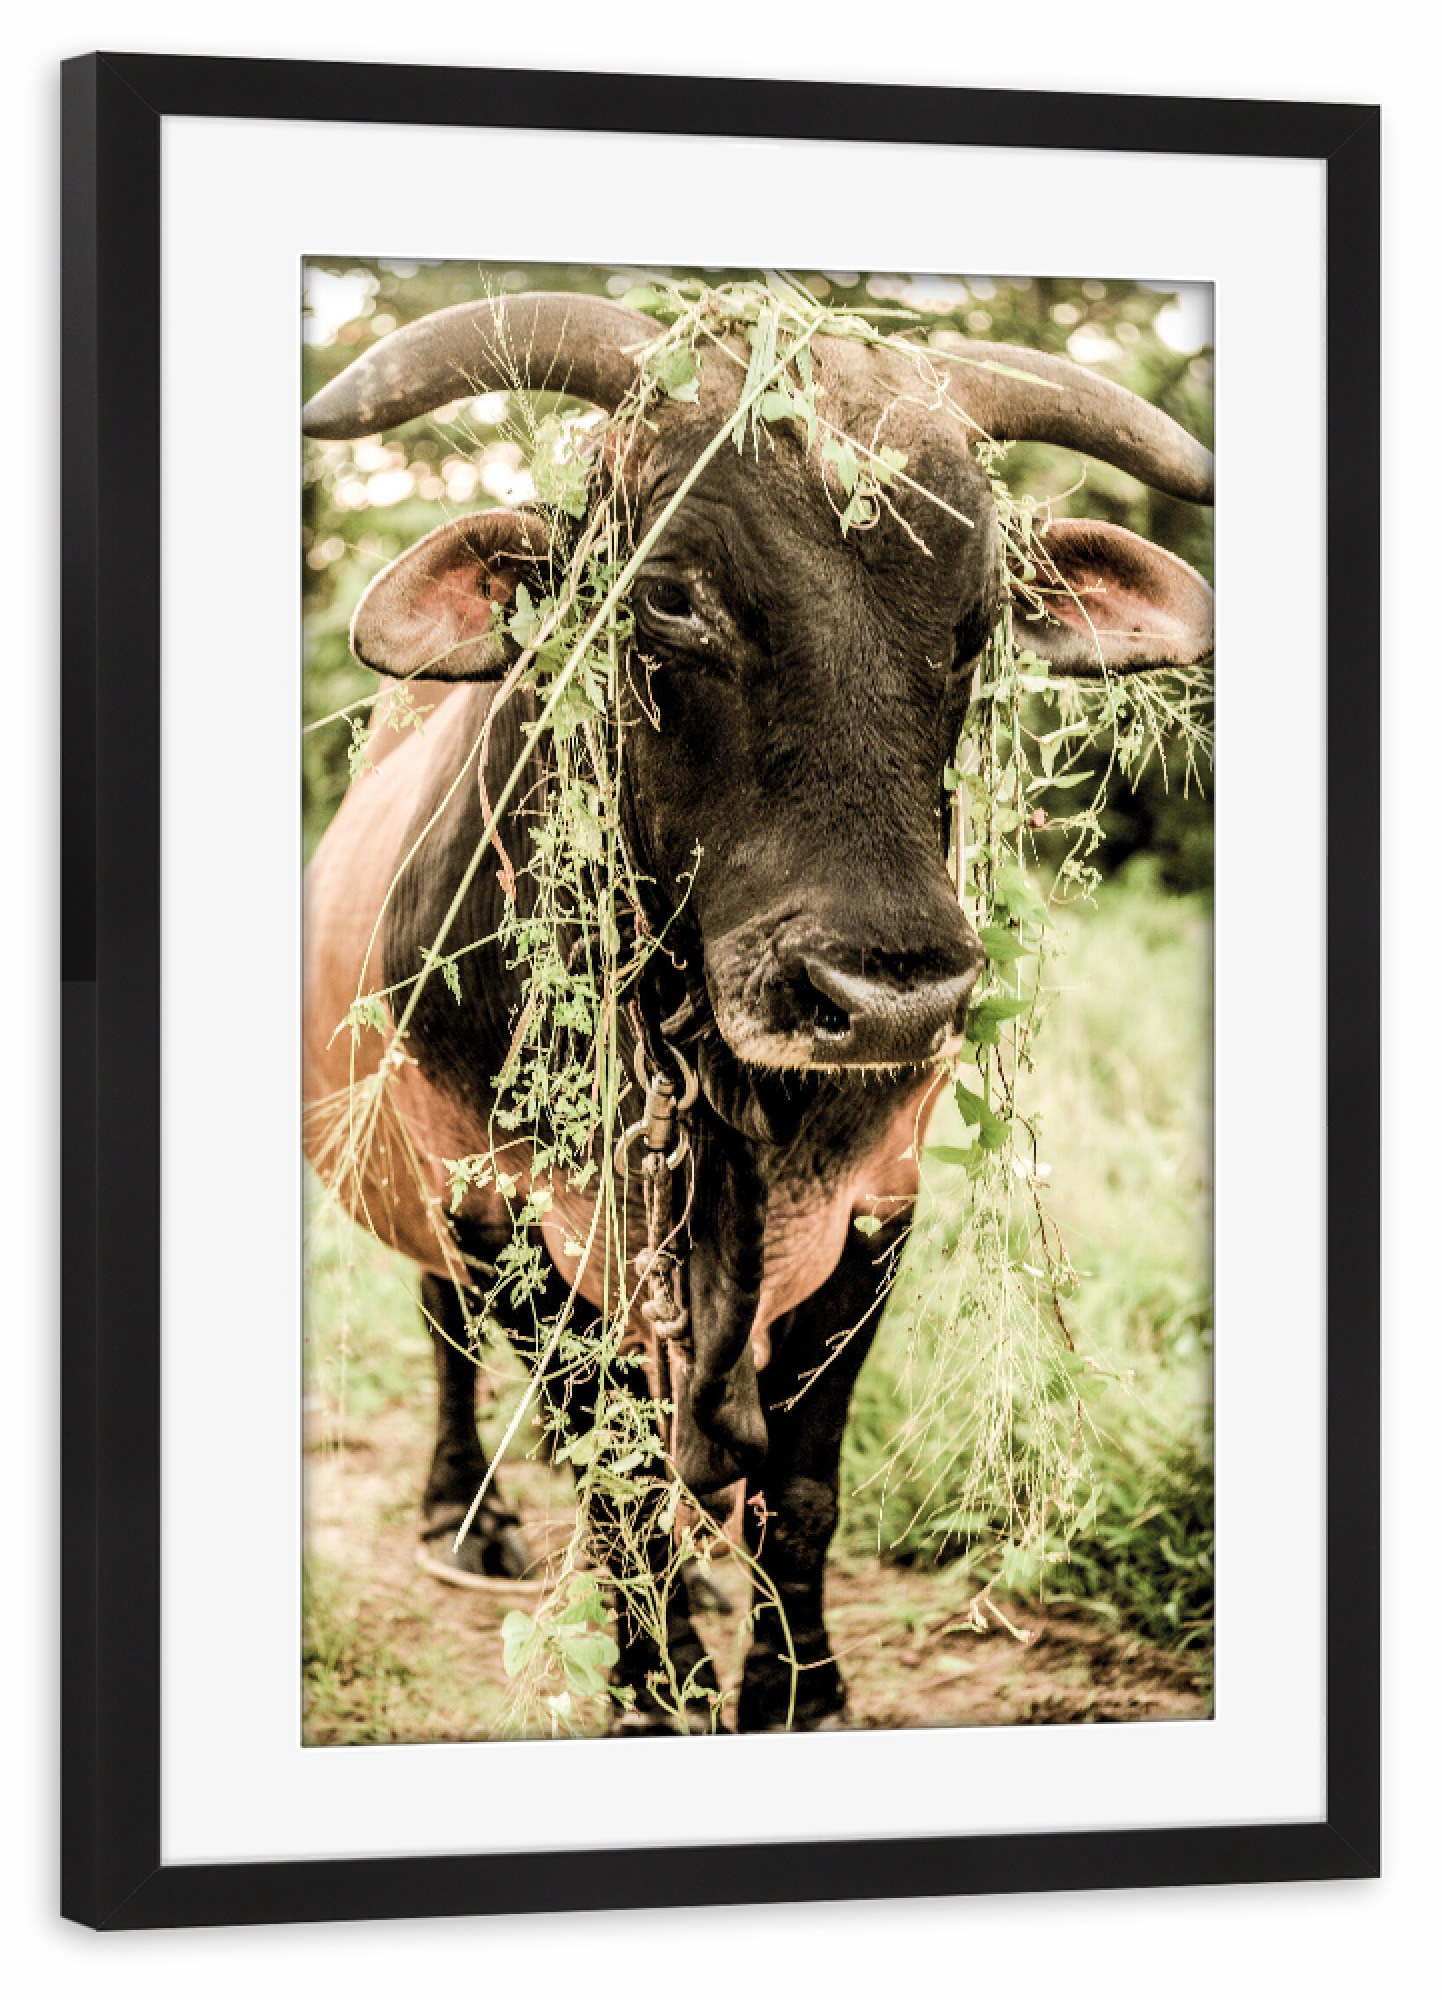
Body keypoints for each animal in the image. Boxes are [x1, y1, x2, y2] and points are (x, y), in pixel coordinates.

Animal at [301, 288, 1213, 1734]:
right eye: (668, 601)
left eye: (975, 626)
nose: (887, 996)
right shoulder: (511, 1219)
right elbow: (618, 1491)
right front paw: (653, 1688)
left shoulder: (872, 1216)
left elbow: (797, 1488)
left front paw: (796, 1689)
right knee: (446, 1339)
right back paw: (463, 1515)